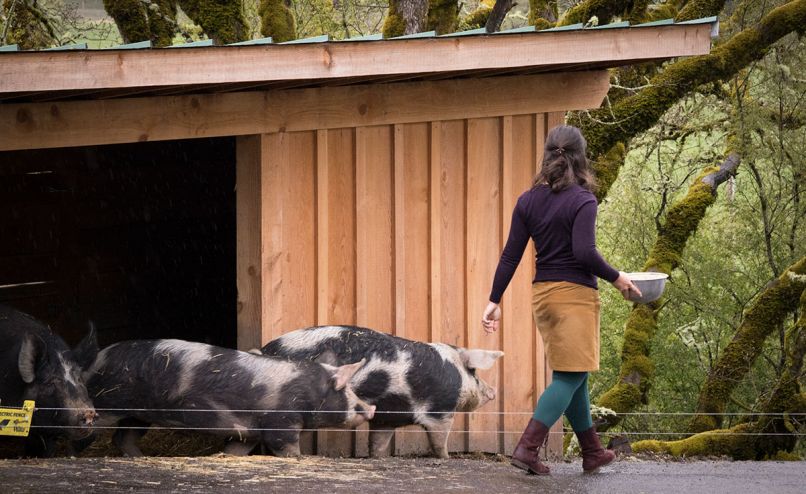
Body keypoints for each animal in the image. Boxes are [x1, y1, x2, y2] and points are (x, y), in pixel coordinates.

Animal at [87, 338, 378, 458]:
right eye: (345, 390)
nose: (372, 407)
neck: (307, 391)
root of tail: (96, 359)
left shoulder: (248, 431)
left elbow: (236, 451)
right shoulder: (282, 422)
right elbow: (287, 447)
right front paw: (300, 458)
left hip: (137, 413)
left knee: (122, 437)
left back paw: (140, 457)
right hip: (109, 404)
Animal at [260, 324, 504, 460]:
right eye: (474, 372)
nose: (493, 392)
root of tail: (267, 348)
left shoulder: (386, 417)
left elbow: (378, 441)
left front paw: (376, 457)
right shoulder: (439, 410)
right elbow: (439, 439)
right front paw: (445, 458)